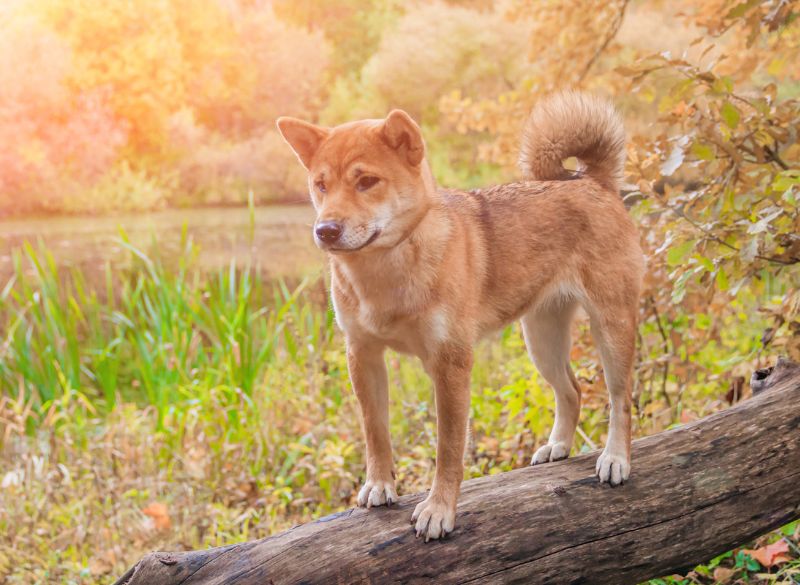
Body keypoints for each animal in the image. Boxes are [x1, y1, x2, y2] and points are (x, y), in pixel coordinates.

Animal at [276, 90, 644, 540]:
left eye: (366, 182)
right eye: (321, 185)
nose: (325, 230)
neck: (385, 273)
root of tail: (594, 182)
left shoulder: (450, 362)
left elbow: (448, 448)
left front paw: (438, 510)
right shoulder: (362, 354)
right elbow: (375, 431)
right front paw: (379, 485)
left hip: (610, 328)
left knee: (620, 398)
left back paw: (616, 458)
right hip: (542, 339)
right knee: (571, 391)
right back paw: (558, 446)